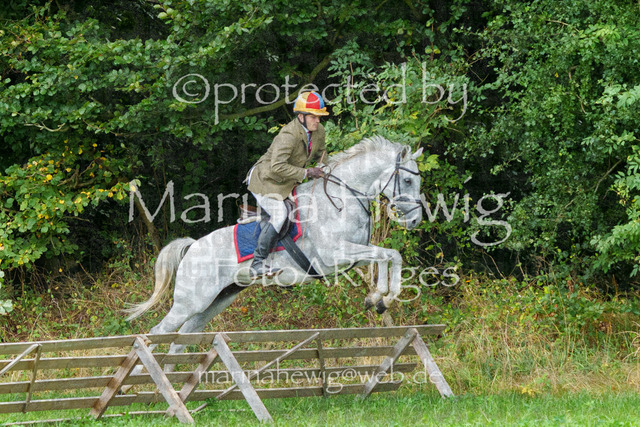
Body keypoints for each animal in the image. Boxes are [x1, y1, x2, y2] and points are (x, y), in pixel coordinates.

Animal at [125, 136, 423, 363]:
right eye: (408, 181)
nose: (415, 221)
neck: (343, 198)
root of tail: (192, 246)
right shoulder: (334, 255)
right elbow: (386, 255)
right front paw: (381, 297)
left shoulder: (354, 253)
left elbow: (390, 255)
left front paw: (380, 299)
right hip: (190, 302)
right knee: (157, 332)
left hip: (212, 303)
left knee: (179, 340)